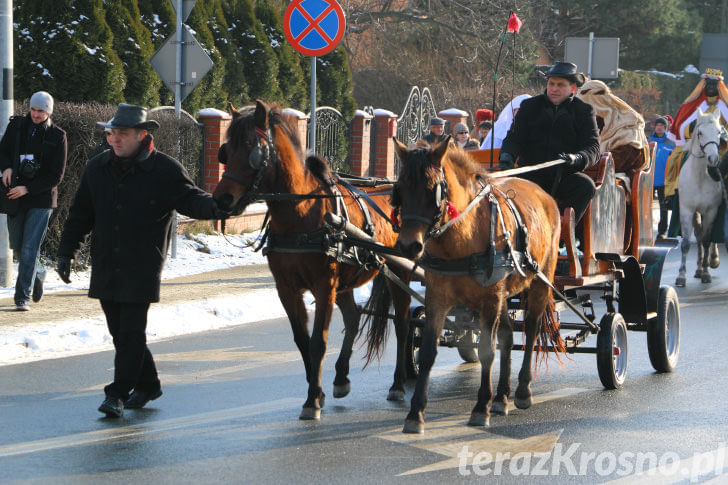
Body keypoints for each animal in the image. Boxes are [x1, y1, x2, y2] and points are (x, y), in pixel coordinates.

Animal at [213, 100, 412, 418]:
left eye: (251, 147)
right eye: (225, 150)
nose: (222, 199)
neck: (301, 213)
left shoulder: (323, 286)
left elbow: (319, 341)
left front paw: (312, 400)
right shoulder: (286, 289)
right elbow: (302, 341)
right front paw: (316, 391)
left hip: (397, 272)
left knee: (403, 324)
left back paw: (398, 384)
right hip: (346, 281)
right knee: (354, 318)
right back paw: (341, 377)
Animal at [370, 138, 564, 432]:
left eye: (433, 190)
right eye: (399, 189)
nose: (407, 246)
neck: (462, 237)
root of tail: (544, 195)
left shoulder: (490, 299)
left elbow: (486, 350)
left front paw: (481, 407)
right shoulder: (438, 297)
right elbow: (428, 352)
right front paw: (416, 413)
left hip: (540, 282)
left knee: (530, 330)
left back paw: (521, 391)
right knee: (508, 335)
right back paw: (502, 396)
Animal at [676, 108, 724, 286]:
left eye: (719, 132)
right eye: (700, 133)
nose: (713, 159)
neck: (700, 177)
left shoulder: (711, 211)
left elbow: (707, 239)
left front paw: (706, 272)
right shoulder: (687, 210)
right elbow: (686, 243)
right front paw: (681, 275)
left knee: (705, 237)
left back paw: (712, 261)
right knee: (698, 234)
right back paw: (697, 268)